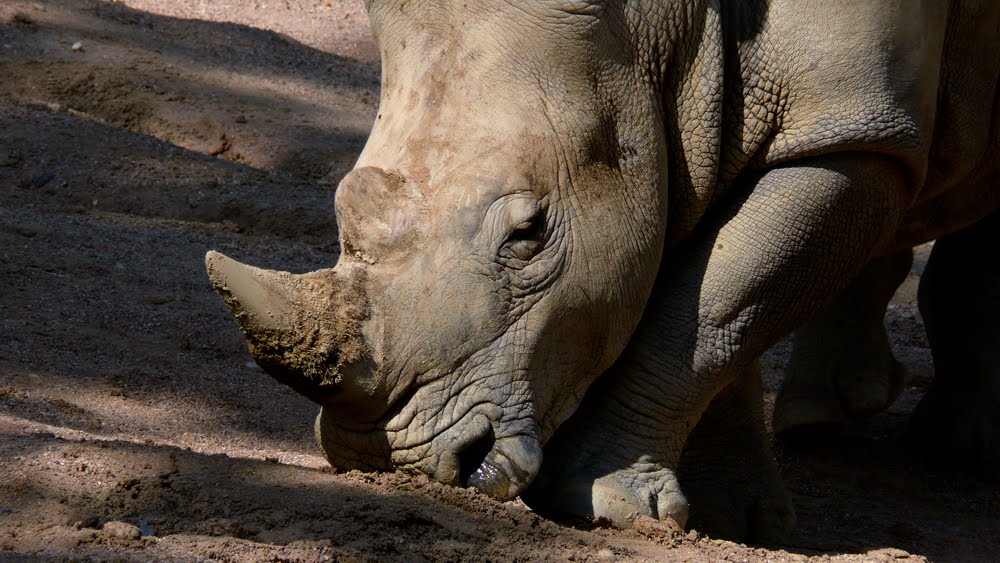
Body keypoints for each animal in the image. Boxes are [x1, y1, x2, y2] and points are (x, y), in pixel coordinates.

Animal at [206, 0, 1000, 542]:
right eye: (344, 207)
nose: (380, 456)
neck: (667, 23)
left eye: (528, 235)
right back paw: (824, 417)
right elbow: (719, 303)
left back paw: (960, 452)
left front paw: (606, 504)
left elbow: (711, 307)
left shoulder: (849, 135)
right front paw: (730, 520)